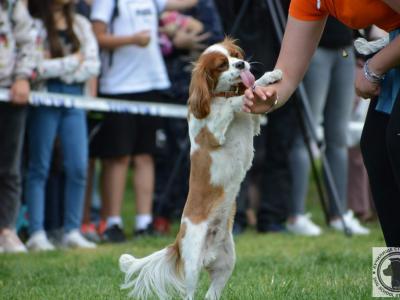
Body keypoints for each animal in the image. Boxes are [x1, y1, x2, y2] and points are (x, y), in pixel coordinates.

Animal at [119, 38, 282, 300]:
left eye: (236, 56)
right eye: (222, 65)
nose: (241, 64)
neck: (219, 95)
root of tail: (178, 240)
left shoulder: (253, 122)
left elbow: (252, 92)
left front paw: (269, 77)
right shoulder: (213, 132)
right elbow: (232, 103)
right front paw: (244, 94)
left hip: (227, 263)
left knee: (211, 294)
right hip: (193, 264)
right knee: (189, 294)